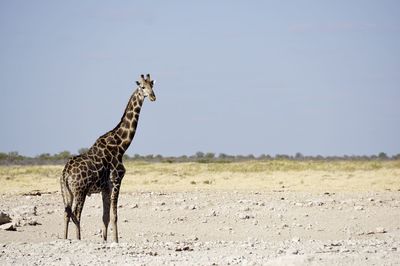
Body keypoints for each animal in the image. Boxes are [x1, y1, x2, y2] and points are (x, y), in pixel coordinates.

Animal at [61, 74, 156, 242]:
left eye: (153, 85)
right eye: (142, 87)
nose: (153, 97)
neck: (121, 145)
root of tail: (65, 173)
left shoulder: (104, 188)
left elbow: (105, 217)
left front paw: (104, 240)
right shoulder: (116, 180)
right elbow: (114, 216)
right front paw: (116, 240)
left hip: (67, 192)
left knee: (66, 214)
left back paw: (66, 239)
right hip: (80, 191)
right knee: (76, 214)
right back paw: (78, 239)